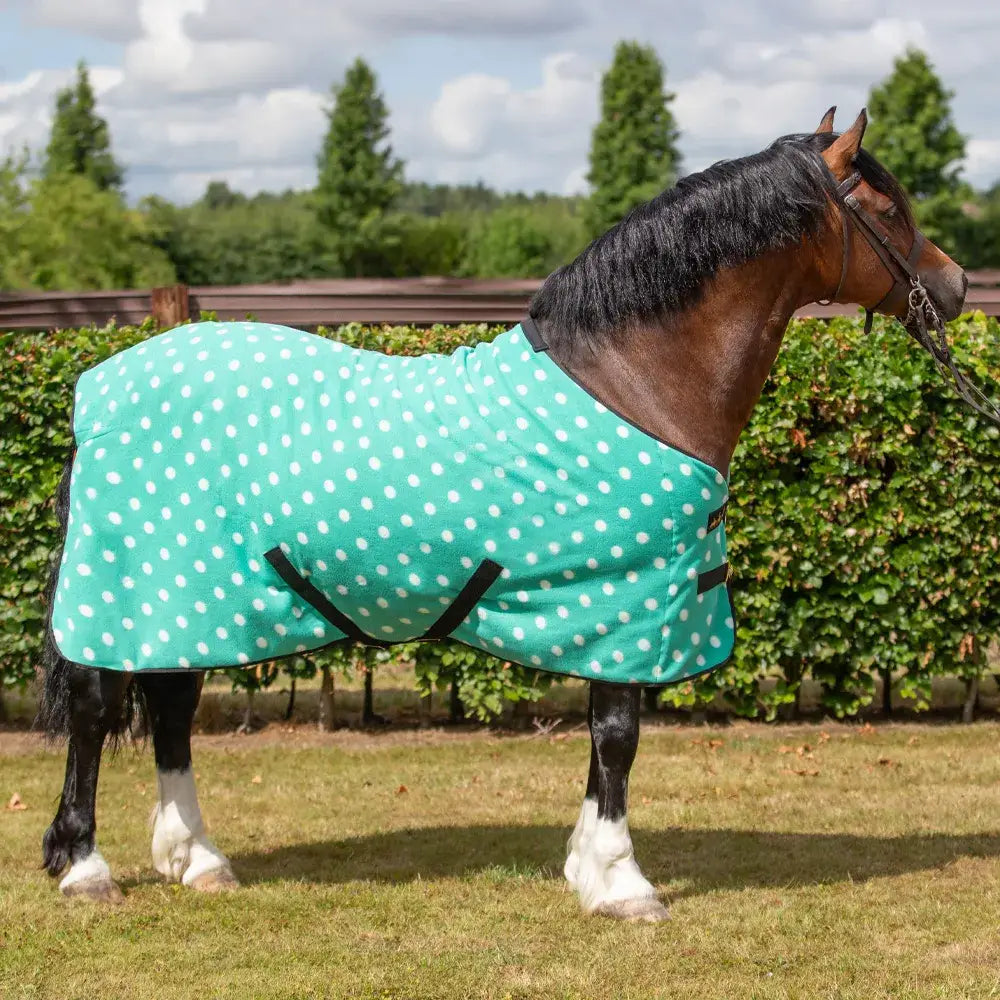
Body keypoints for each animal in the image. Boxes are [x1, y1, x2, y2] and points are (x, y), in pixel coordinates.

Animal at [38, 108, 968, 921]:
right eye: (888, 207)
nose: (956, 286)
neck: (633, 380)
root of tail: (101, 386)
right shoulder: (623, 599)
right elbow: (618, 735)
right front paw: (623, 884)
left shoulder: (608, 614)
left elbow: (600, 742)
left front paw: (587, 868)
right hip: (134, 592)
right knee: (94, 710)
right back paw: (86, 868)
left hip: (190, 603)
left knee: (171, 707)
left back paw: (198, 860)